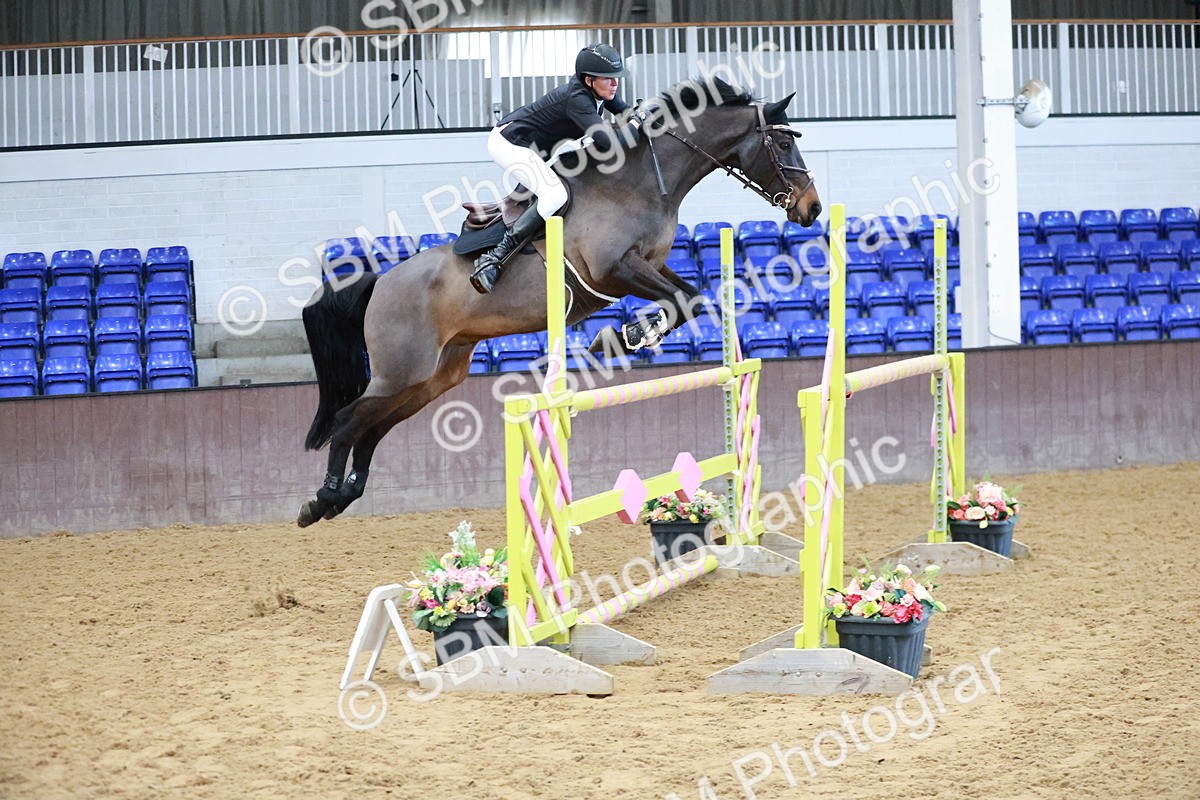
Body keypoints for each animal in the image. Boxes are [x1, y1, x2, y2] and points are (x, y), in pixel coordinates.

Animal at [296, 77, 822, 527]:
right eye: (782, 144)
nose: (812, 208)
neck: (640, 183)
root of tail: (379, 281)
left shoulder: (649, 266)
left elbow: (690, 299)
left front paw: (627, 336)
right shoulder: (617, 269)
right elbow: (681, 300)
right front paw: (623, 336)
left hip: (434, 376)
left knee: (373, 428)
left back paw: (342, 496)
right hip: (401, 372)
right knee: (348, 421)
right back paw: (321, 500)